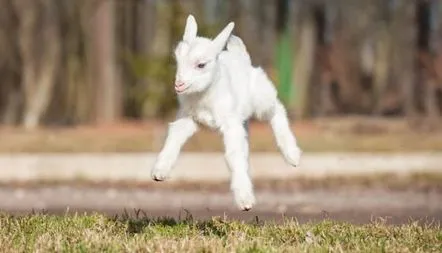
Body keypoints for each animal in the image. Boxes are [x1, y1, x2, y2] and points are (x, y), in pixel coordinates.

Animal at [150, 14, 302, 211]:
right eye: (178, 60)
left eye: (201, 64)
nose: (179, 84)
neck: (205, 95)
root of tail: (242, 56)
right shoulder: (188, 118)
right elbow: (174, 137)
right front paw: (160, 171)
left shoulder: (229, 124)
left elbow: (233, 155)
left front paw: (245, 201)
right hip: (243, 120)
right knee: (246, 146)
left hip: (261, 99)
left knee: (277, 109)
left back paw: (292, 155)